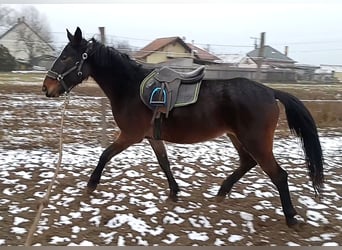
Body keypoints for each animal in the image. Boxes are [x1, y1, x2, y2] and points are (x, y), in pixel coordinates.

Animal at [41, 26, 322, 227]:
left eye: (66, 57)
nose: (47, 88)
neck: (130, 87)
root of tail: (270, 91)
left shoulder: (130, 135)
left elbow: (104, 155)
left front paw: (91, 185)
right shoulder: (152, 137)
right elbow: (164, 163)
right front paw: (174, 192)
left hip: (255, 140)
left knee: (278, 175)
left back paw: (291, 217)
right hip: (237, 137)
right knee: (247, 162)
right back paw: (221, 193)